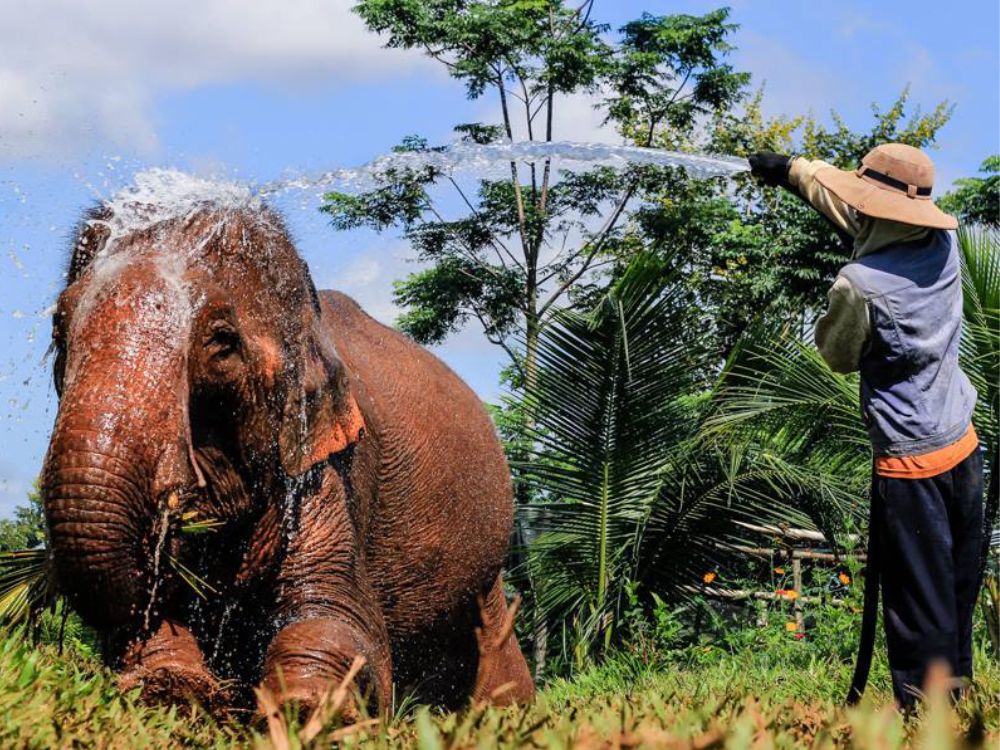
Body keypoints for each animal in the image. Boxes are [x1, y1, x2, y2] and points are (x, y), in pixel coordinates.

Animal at [41, 181, 532, 716]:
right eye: (59, 331)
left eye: (222, 342)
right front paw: (172, 691)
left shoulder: (333, 464)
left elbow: (341, 618)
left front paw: (304, 710)